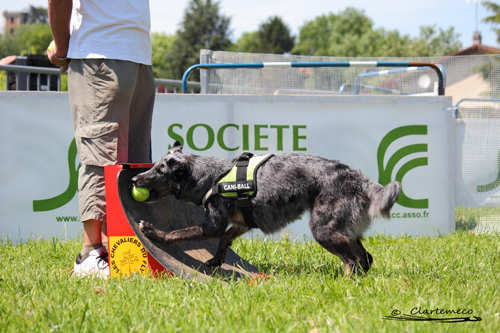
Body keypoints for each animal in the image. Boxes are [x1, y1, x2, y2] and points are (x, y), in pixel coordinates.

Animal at [132, 140, 398, 274]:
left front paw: (154, 233)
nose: (134, 179)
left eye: (158, 171)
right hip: (345, 231)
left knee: (352, 262)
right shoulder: (240, 224)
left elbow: (179, 233)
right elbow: (224, 240)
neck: (211, 177)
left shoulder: (212, 225)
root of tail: (356, 177)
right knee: (365, 258)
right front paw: (216, 260)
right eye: (153, 166)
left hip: (324, 230)